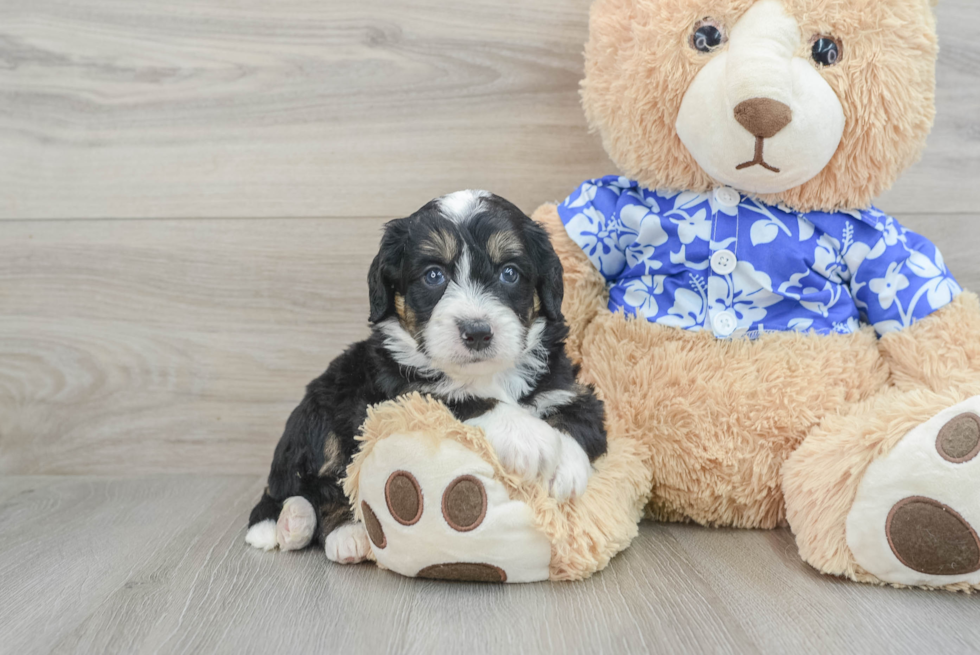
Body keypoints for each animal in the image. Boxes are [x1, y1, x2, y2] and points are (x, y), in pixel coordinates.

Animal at [245, 190, 604, 564]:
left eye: (509, 272)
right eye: (434, 275)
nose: (477, 332)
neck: (486, 373)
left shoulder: (565, 386)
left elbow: (581, 417)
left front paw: (565, 467)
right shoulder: (403, 393)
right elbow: (463, 398)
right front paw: (530, 438)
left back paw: (297, 523)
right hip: (323, 407)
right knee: (318, 482)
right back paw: (330, 530)